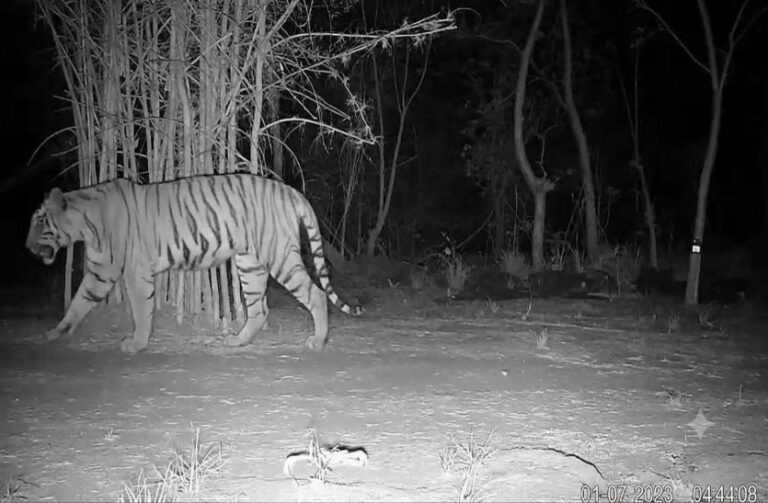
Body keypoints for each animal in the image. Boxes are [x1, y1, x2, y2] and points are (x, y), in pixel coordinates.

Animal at [25, 173, 362, 354]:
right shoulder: (100, 271)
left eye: (40, 221)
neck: (86, 223)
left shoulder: (133, 272)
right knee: (258, 309)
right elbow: (78, 302)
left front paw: (136, 343)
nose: (27, 246)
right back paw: (236, 341)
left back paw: (317, 341)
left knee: (316, 294)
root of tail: (292, 190)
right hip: (249, 263)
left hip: (279, 256)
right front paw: (57, 333)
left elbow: (141, 311)